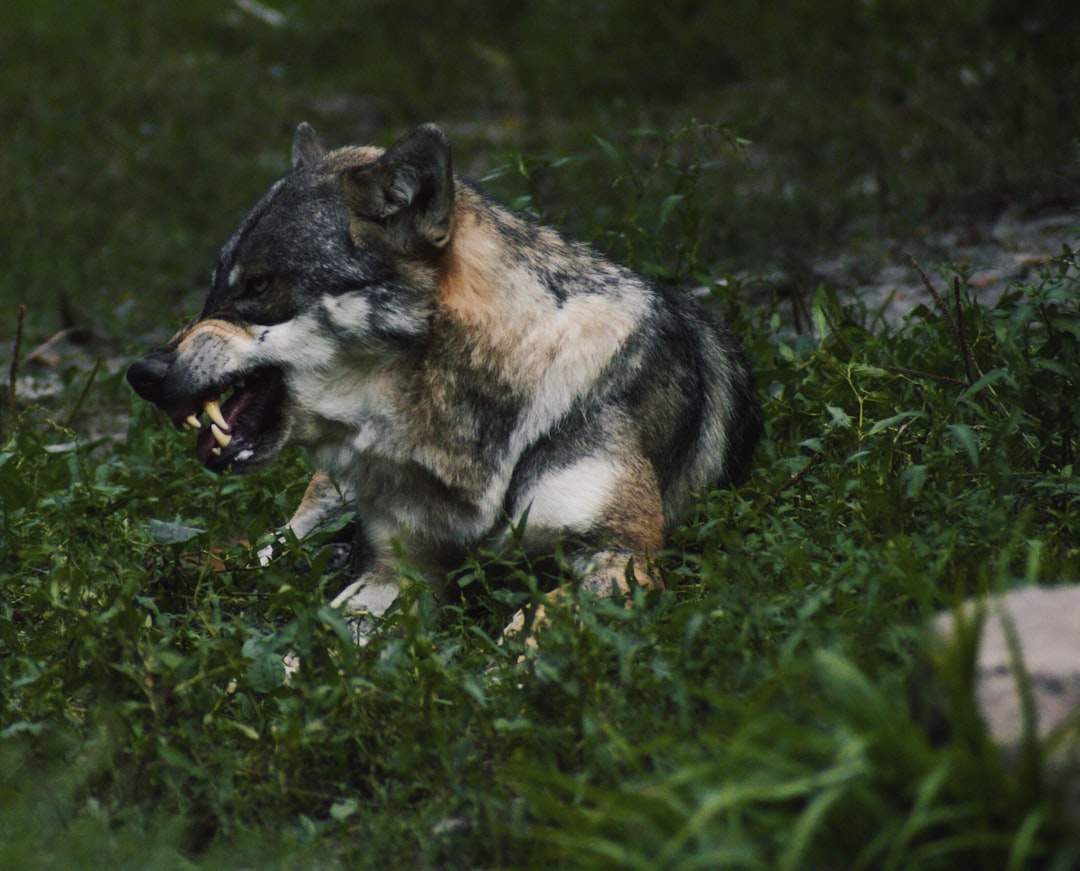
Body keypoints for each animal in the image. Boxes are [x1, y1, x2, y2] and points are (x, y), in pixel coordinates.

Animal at [126, 122, 764, 639]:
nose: (142, 374)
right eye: (214, 285)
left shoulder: (623, 555)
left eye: (258, 284)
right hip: (320, 509)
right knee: (263, 553)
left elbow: (530, 627)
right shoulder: (398, 571)